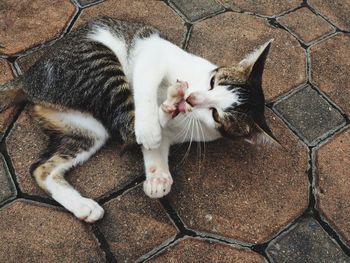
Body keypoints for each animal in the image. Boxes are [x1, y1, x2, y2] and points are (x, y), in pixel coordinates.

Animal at [0, 16, 278, 223]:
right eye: (212, 82)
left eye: (216, 115)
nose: (191, 99)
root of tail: (28, 81)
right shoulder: (154, 51)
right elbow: (146, 89)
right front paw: (151, 128)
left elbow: (154, 145)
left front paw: (158, 177)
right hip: (97, 60)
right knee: (127, 123)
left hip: (87, 130)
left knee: (42, 168)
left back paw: (83, 206)